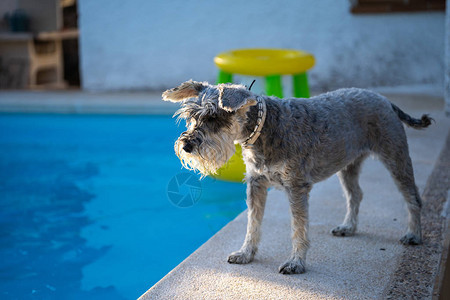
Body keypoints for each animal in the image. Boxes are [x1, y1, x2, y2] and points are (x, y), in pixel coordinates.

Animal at [163, 79, 432, 274]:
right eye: (190, 117)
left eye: (214, 116)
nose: (187, 145)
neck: (265, 128)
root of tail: (385, 100)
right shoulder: (256, 184)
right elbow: (253, 223)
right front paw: (246, 253)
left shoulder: (296, 187)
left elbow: (298, 227)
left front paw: (296, 263)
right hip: (348, 166)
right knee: (355, 194)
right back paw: (348, 226)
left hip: (395, 158)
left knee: (413, 197)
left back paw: (414, 235)